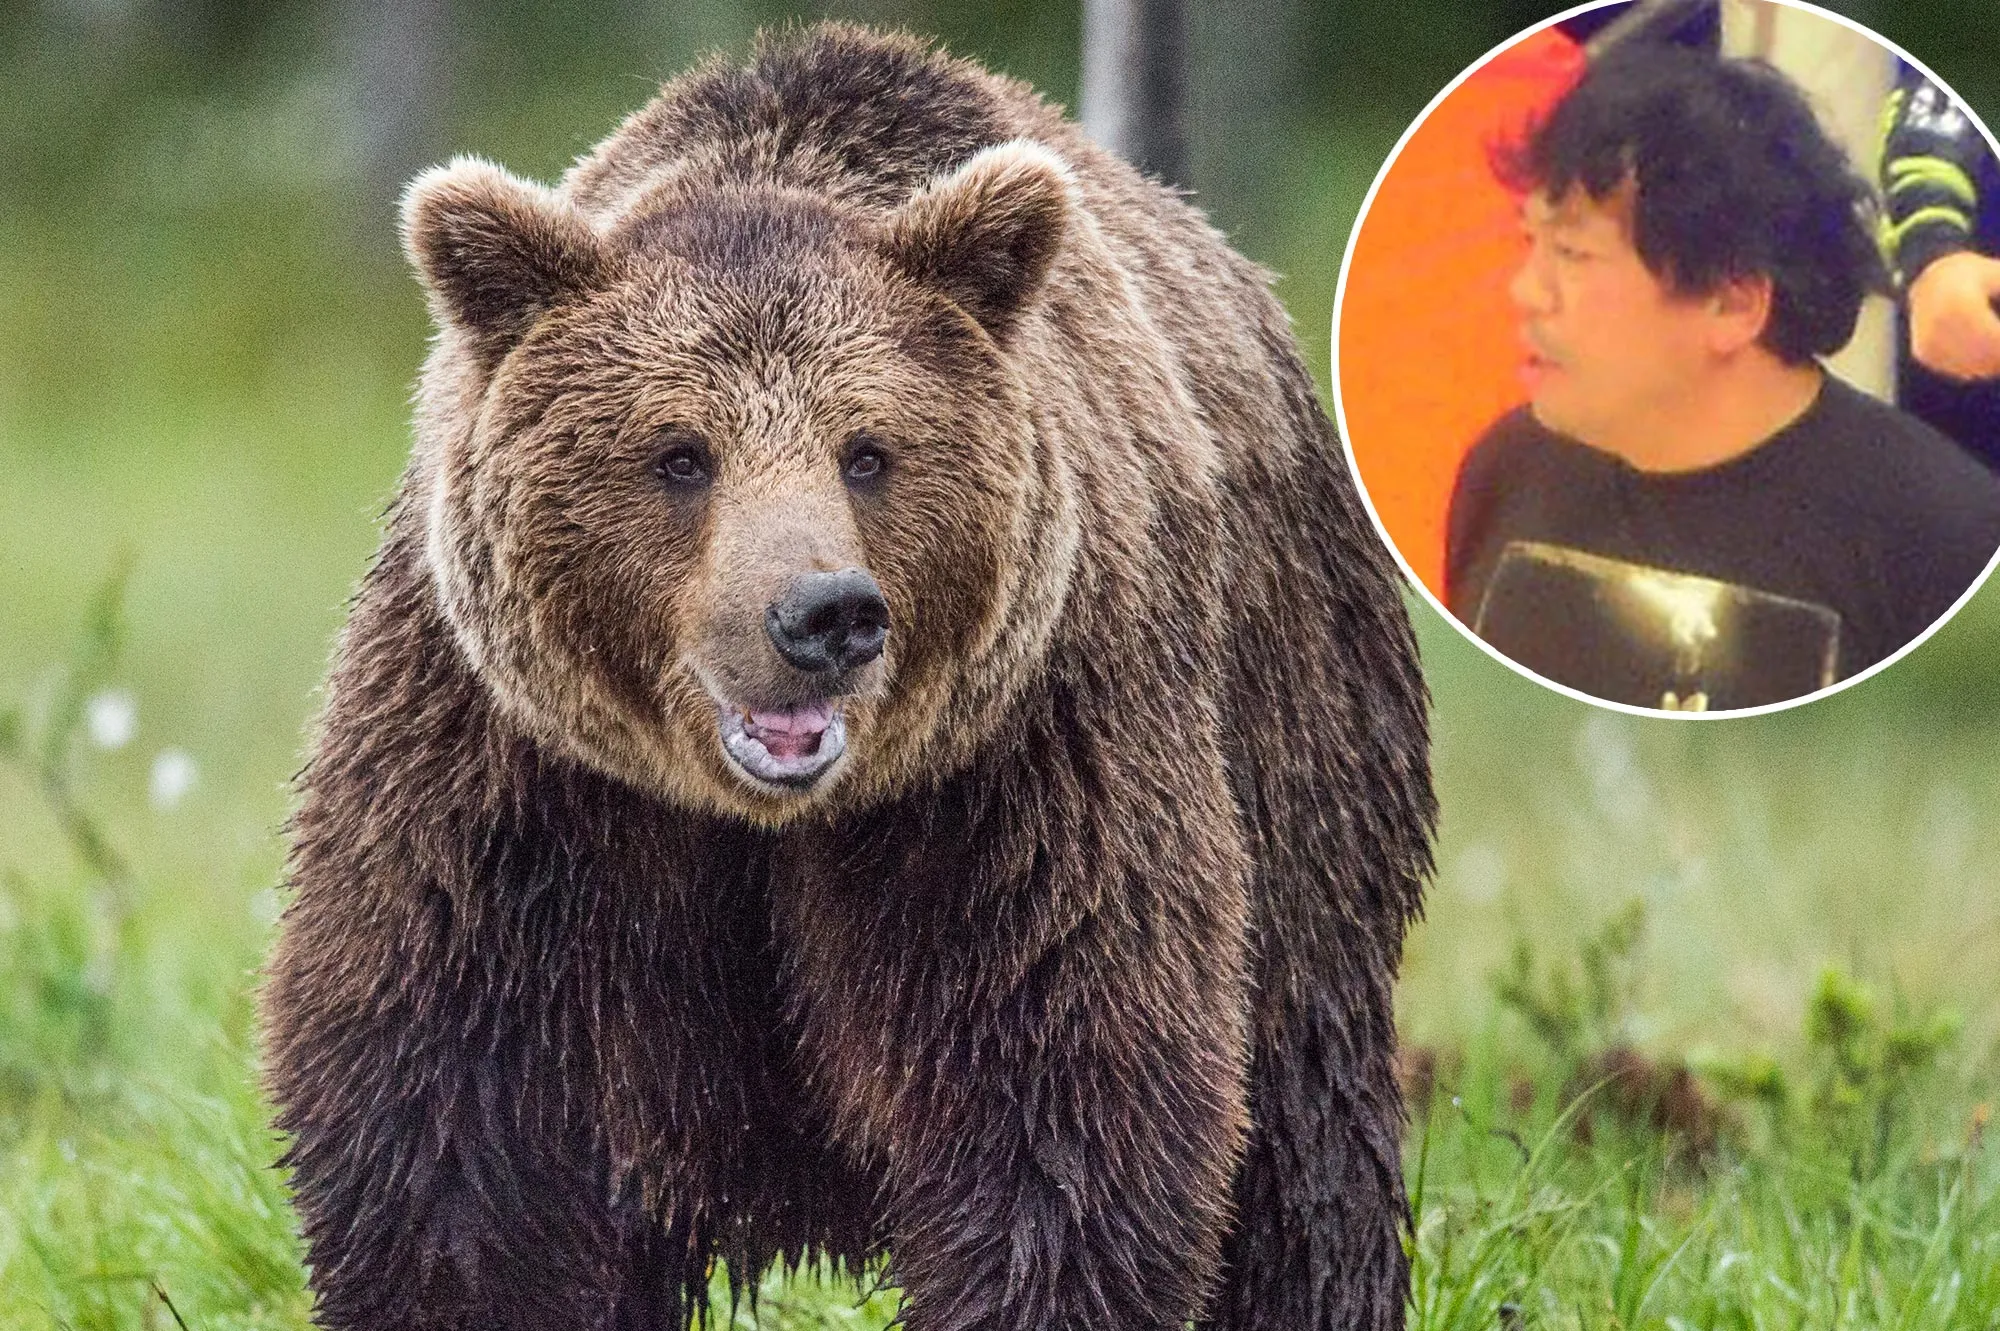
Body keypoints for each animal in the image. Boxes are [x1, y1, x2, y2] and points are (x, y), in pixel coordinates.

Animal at [261, 23, 1434, 1331]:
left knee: (1300, 1110)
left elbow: (1056, 1097)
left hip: (1294, 713)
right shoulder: (512, 778)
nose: (824, 614)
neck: (758, 820)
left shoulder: (1019, 767)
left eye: (868, 451)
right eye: (680, 454)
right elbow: (461, 1122)